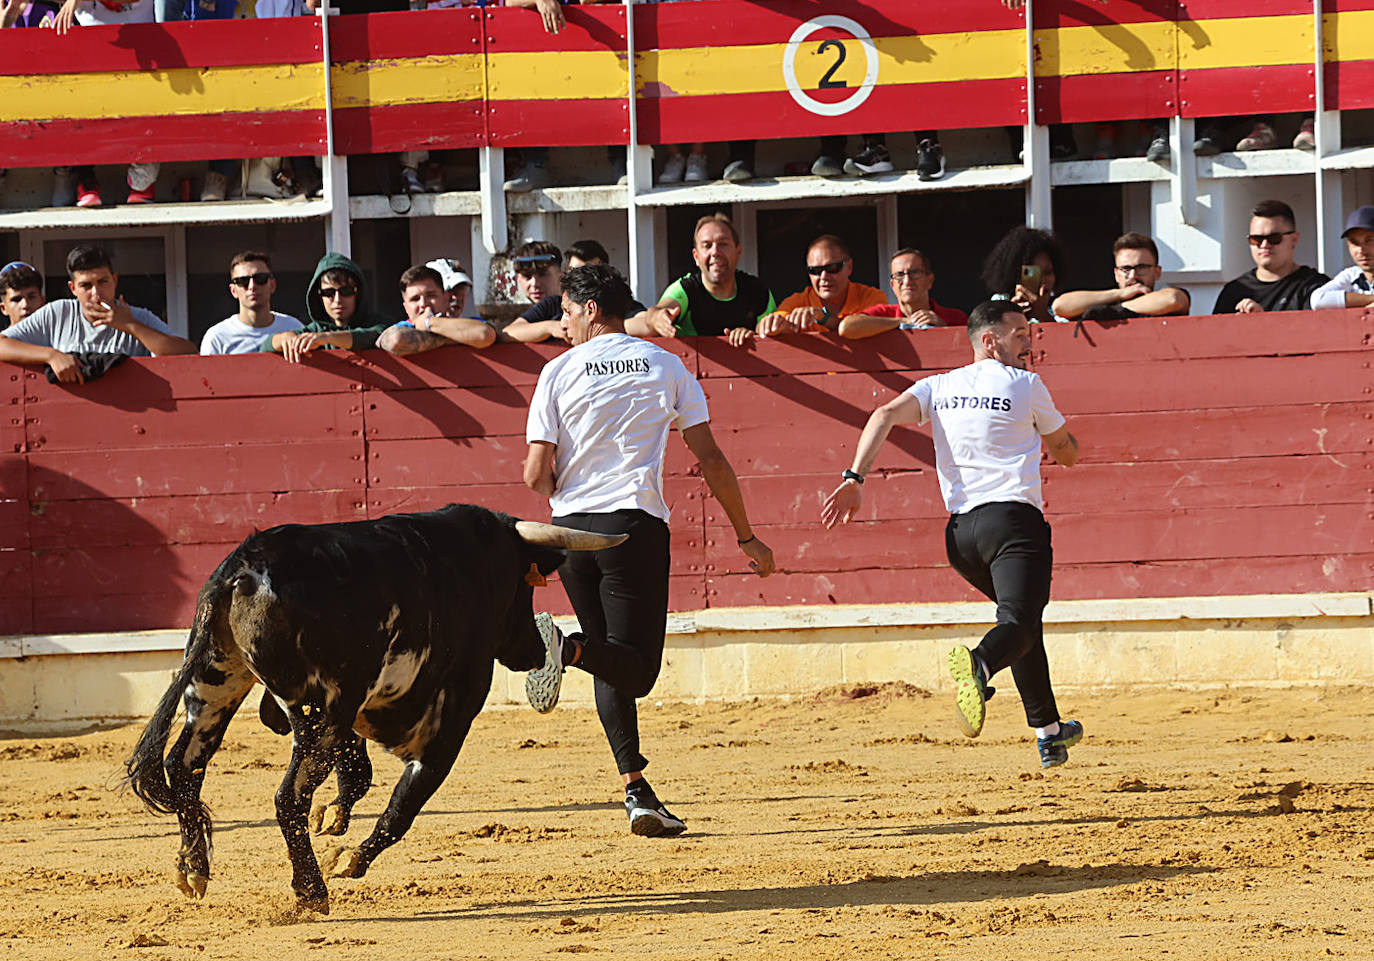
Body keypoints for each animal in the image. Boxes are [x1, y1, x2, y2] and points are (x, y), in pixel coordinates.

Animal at [123, 508, 629, 912]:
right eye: (525, 587)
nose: (532, 649)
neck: (476, 564)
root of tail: (241, 570)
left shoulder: (359, 711)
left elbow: (359, 774)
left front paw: (335, 819)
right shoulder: (451, 718)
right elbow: (407, 800)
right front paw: (350, 859)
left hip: (217, 682)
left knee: (184, 766)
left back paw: (194, 870)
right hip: (319, 709)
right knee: (289, 796)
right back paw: (311, 892)